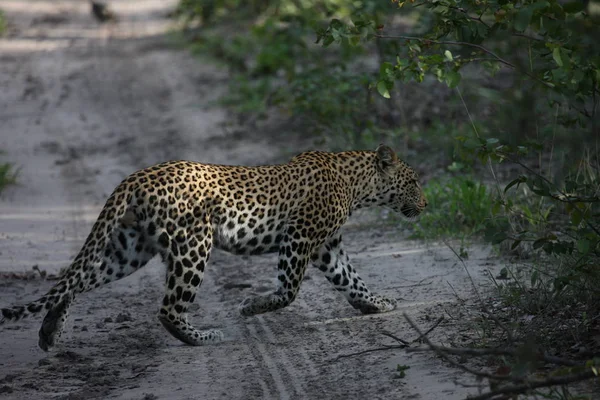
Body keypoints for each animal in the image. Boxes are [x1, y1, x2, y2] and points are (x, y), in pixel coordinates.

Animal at [2, 145, 428, 350]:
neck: (357, 184)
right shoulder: (301, 238)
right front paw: (251, 306)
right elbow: (290, 290)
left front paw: (377, 304)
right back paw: (205, 338)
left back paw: (49, 332)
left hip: (129, 249)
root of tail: (135, 177)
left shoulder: (327, 245)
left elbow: (351, 279)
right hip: (194, 243)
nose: (426, 204)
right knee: (167, 309)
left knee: (74, 280)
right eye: (413, 182)